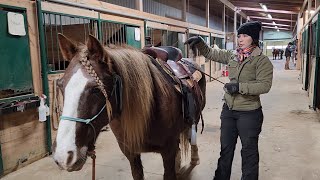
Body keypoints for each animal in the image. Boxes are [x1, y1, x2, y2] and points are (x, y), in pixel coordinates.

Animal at [52, 34, 208, 180]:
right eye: (60, 85)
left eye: (96, 89)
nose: (64, 156)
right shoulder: (130, 153)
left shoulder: (168, 151)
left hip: (195, 118)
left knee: (192, 135)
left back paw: (195, 158)